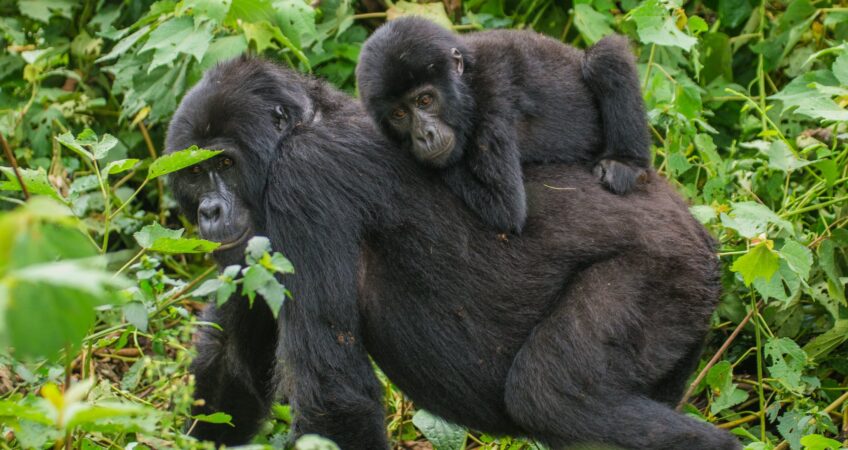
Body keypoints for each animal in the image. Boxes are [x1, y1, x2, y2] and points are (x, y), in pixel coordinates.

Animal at [164, 58, 736, 448]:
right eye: (194, 172)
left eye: (224, 162)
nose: (209, 212)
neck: (304, 124)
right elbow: (232, 366)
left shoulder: (304, 180)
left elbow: (332, 396)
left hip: (668, 268)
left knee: (550, 394)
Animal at [356, 17, 648, 234]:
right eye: (399, 114)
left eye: (425, 100)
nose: (424, 135)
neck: (467, 82)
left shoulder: (492, 103)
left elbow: (504, 208)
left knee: (605, 56)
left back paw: (626, 163)